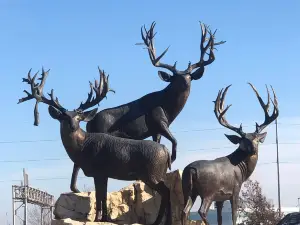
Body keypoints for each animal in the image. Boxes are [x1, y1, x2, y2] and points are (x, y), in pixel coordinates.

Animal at [18, 68, 172, 225]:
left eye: (79, 118)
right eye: (63, 117)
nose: (73, 126)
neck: (83, 147)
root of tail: (166, 151)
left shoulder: (98, 171)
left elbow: (99, 196)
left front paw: (98, 218)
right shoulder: (104, 174)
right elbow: (103, 196)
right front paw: (104, 218)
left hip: (152, 173)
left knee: (166, 191)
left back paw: (159, 221)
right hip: (157, 173)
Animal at [68, 21, 225, 192]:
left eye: (190, 76)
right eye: (175, 77)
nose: (185, 83)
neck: (168, 108)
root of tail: (89, 122)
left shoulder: (155, 131)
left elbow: (161, 143)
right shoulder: (159, 121)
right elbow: (175, 140)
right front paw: (172, 160)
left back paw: (75, 189)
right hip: (101, 131)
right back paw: (75, 189)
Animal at [180, 83, 278, 225]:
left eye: (256, 139)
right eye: (244, 140)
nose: (253, 149)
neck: (242, 169)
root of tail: (191, 169)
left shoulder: (220, 198)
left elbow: (220, 218)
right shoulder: (235, 189)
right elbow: (234, 216)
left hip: (188, 190)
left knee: (184, 211)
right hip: (208, 191)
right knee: (201, 211)